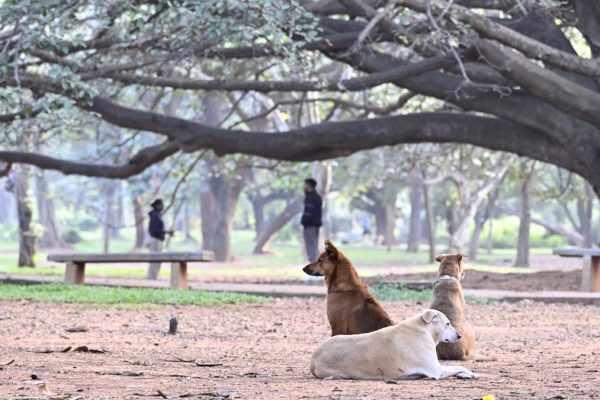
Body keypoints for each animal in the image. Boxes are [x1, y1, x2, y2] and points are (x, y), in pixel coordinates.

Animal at [312, 310, 480, 382]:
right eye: (447, 324)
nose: (459, 336)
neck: (424, 329)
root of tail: (313, 359)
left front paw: (465, 375)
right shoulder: (436, 370)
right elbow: (459, 366)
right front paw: (471, 373)